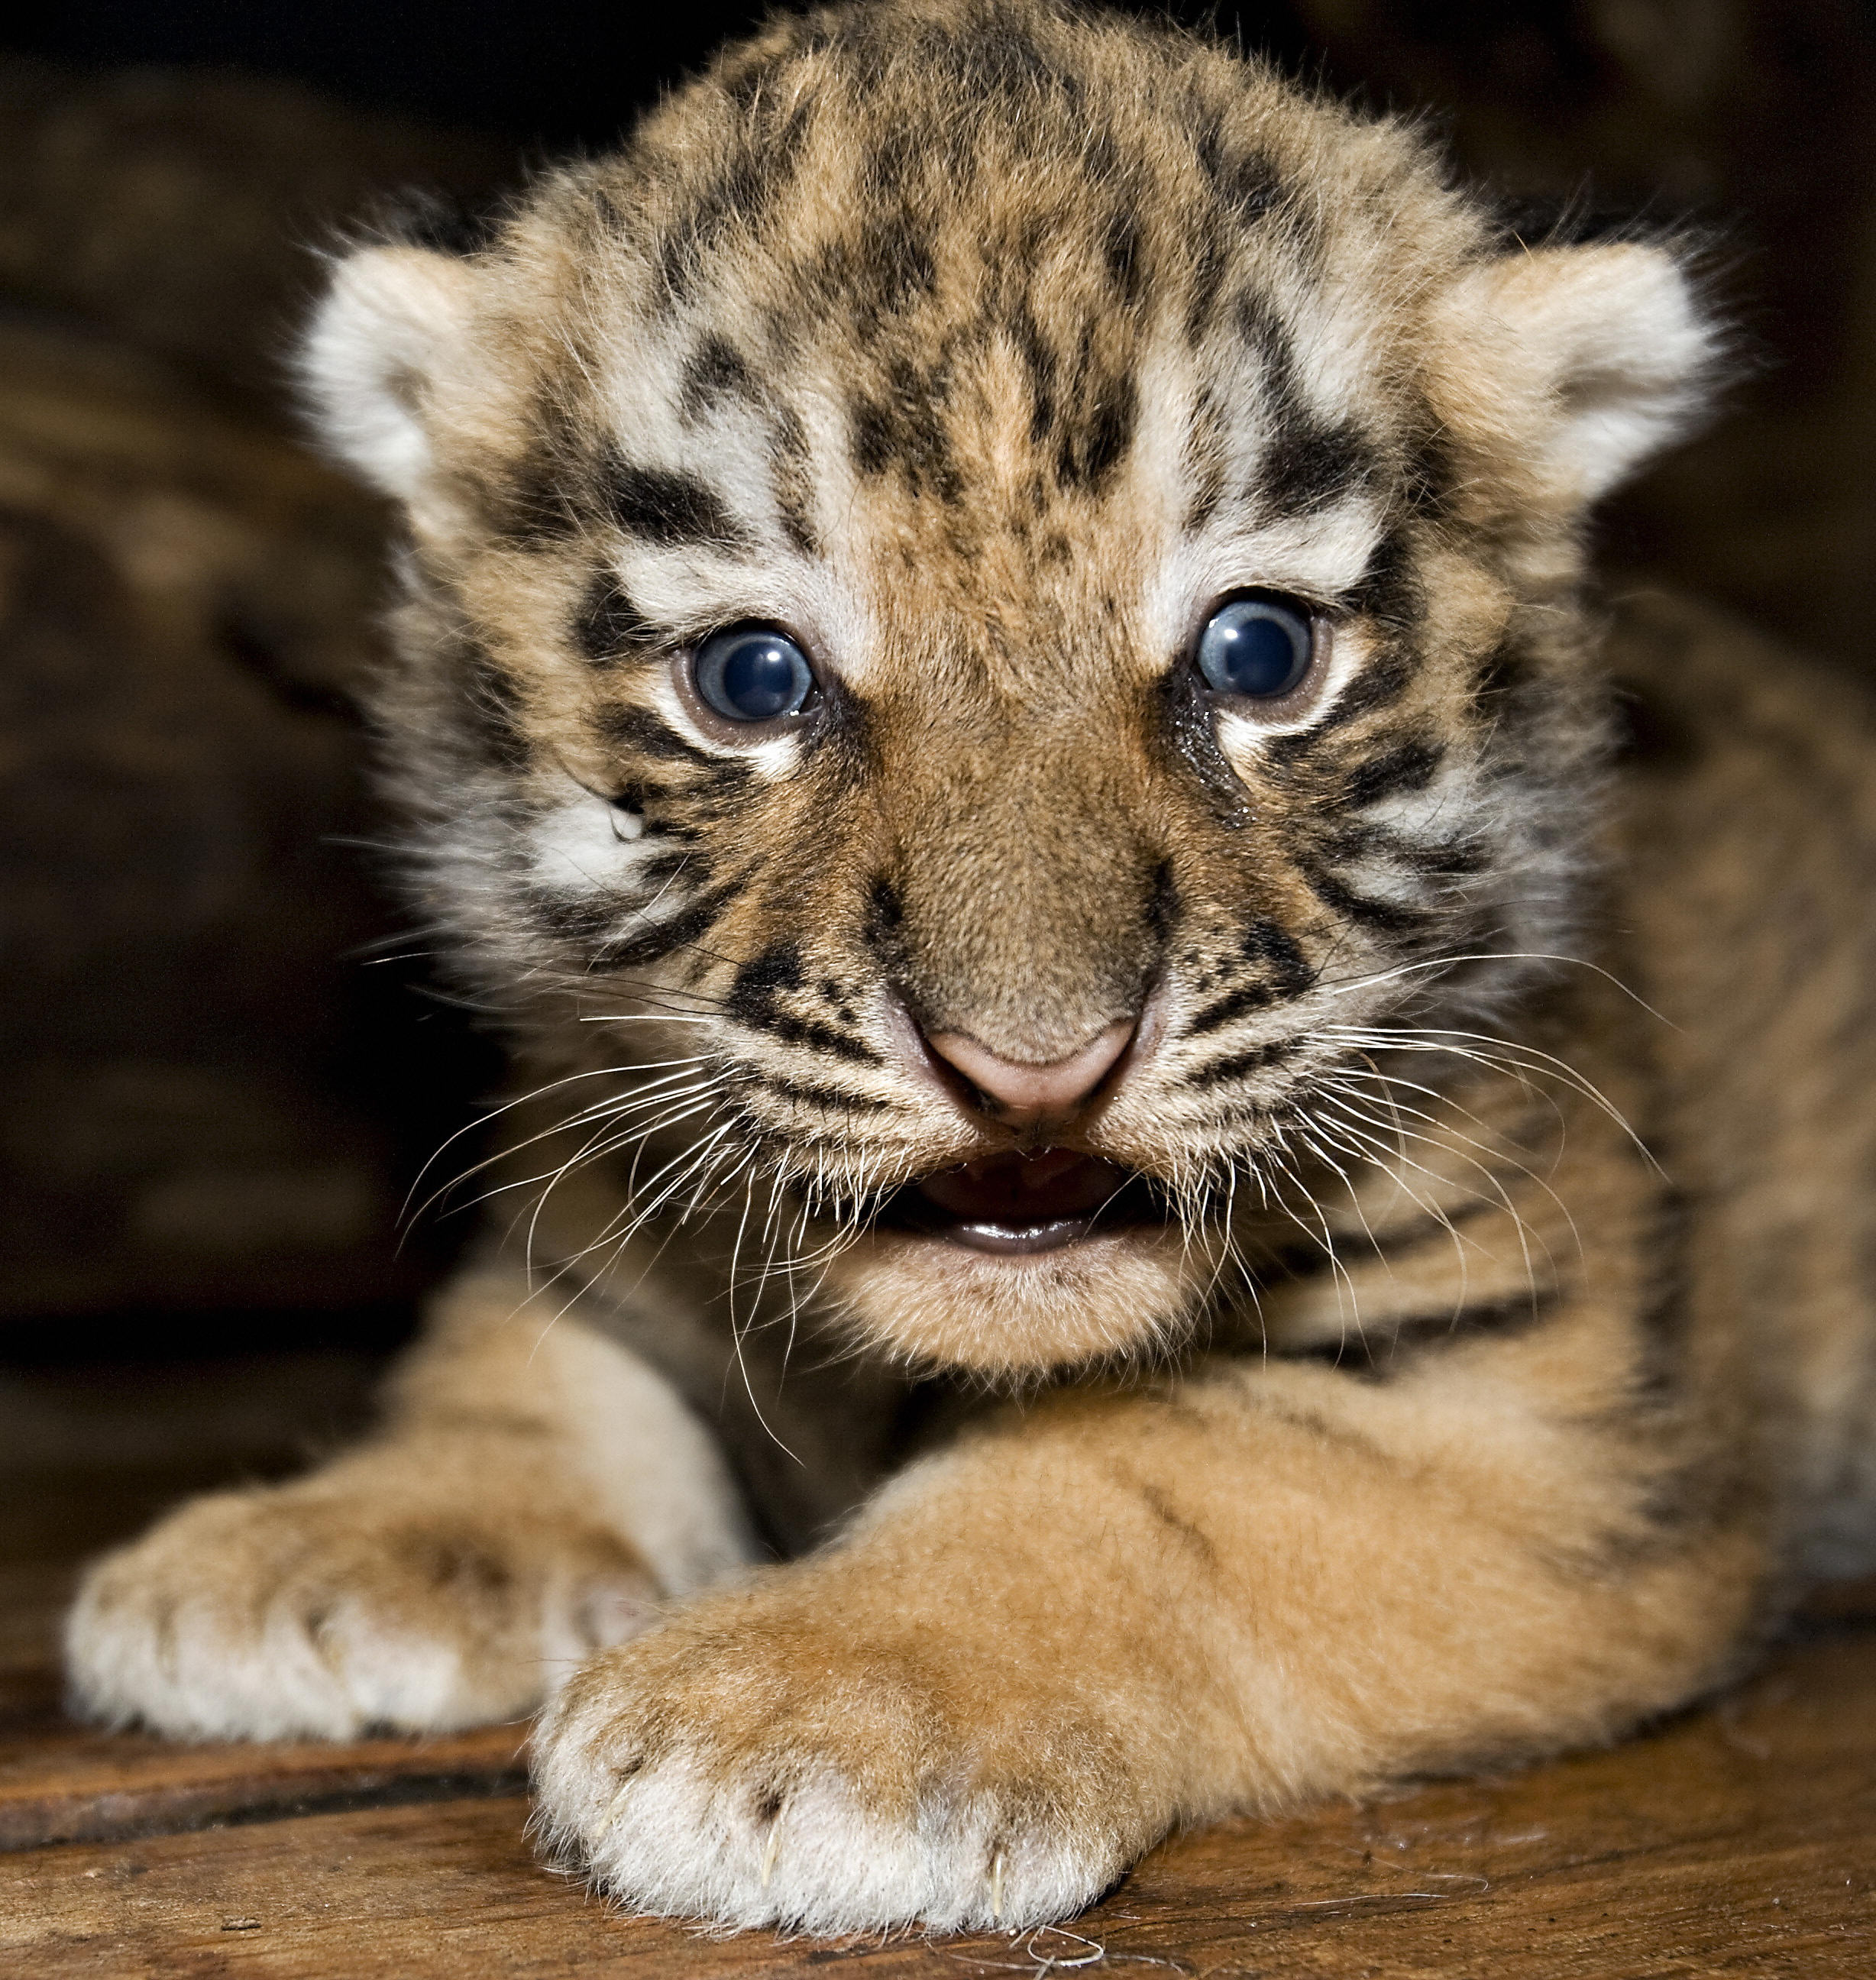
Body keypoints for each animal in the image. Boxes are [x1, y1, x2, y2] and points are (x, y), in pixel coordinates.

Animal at [63, 0, 1876, 1937]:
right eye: (752, 681)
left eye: (1257, 654)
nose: (1030, 1067)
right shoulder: (592, 1199)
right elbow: (518, 1368)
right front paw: (321, 1548)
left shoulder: (1535, 1407)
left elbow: (1149, 1470)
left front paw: (817, 1709)